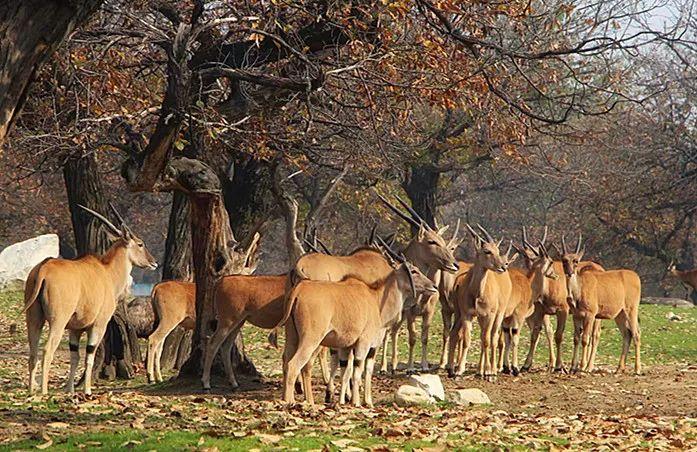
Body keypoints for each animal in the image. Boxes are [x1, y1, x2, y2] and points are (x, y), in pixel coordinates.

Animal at [23, 203, 158, 394]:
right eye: (140, 243)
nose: (154, 262)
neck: (107, 271)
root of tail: (44, 267)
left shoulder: (75, 329)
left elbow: (75, 356)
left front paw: (70, 390)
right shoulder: (98, 325)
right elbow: (90, 356)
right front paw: (87, 390)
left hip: (34, 319)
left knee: (33, 351)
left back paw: (30, 391)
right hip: (58, 321)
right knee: (47, 350)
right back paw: (44, 391)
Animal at [278, 252, 436, 408]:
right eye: (414, 271)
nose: (433, 286)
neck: (376, 299)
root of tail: (299, 290)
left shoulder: (347, 347)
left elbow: (349, 372)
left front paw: (356, 401)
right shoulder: (364, 344)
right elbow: (358, 371)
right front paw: (357, 402)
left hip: (293, 337)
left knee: (287, 361)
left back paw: (293, 399)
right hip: (311, 340)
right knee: (295, 365)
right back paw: (291, 402)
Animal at [446, 224, 516, 380]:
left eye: (497, 250)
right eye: (487, 251)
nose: (502, 267)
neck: (477, 293)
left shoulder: (489, 315)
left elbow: (487, 340)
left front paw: (489, 372)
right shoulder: (467, 314)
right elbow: (467, 339)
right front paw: (459, 370)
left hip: (498, 315)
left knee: (492, 338)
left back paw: (491, 370)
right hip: (465, 315)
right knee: (458, 334)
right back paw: (466, 369)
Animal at [516, 228, 604, 372]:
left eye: (550, 261)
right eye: (525, 256)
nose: (531, 270)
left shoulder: (563, 310)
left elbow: (558, 335)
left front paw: (558, 366)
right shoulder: (540, 311)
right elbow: (535, 334)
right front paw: (526, 365)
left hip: (596, 315)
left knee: (595, 335)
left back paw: (588, 366)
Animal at [560, 235, 640, 372]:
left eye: (576, 261)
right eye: (564, 260)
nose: (569, 272)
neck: (579, 290)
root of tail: (636, 277)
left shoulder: (590, 314)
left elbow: (585, 339)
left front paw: (582, 367)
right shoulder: (576, 315)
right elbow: (576, 339)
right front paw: (572, 367)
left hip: (631, 309)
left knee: (636, 334)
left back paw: (637, 369)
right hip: (619, 314)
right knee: (627, 334)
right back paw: (619, 368)